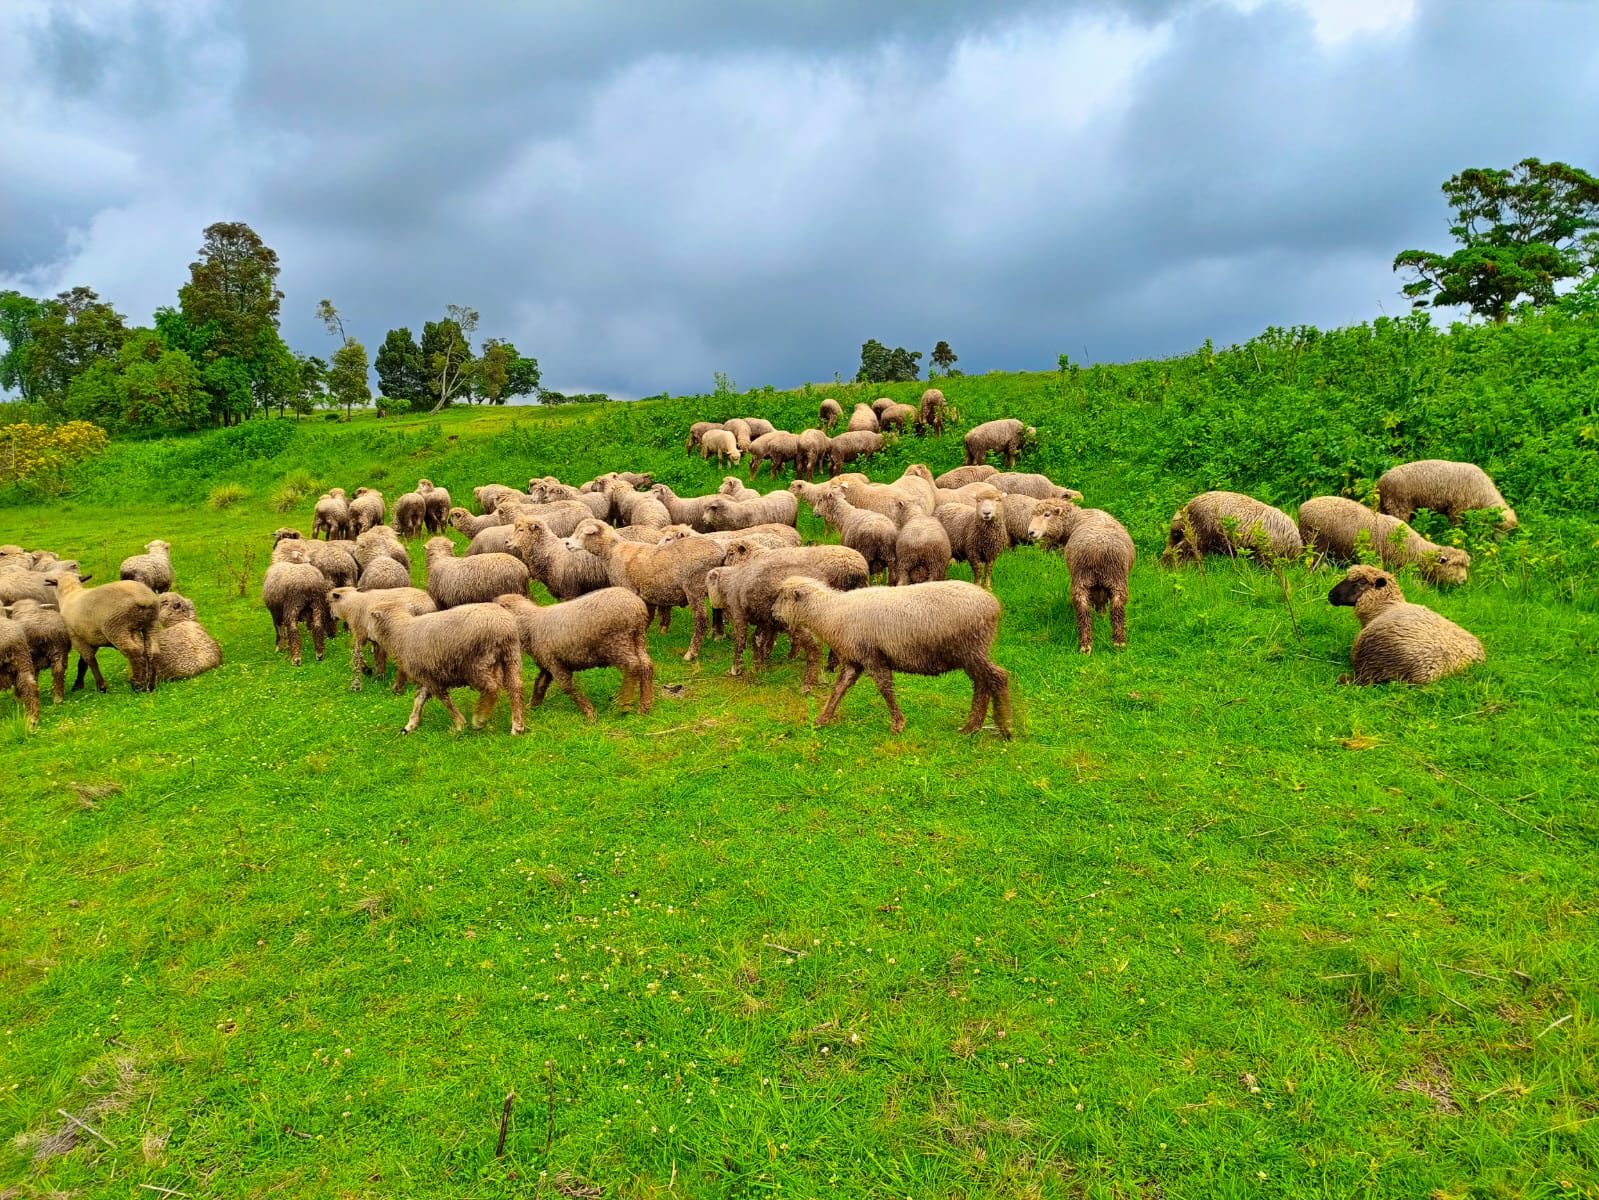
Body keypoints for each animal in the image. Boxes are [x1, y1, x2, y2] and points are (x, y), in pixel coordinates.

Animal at [366, 603, 526, 734]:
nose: (367, 636)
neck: (400, 634)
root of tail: (503, 626)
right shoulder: (425, 674)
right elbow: (419, 699)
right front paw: (410, 724)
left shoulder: (429, 677)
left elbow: (444, 699)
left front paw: (459, 724)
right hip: (511, 655)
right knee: (515, 687)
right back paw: (517, 725)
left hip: (475, 663)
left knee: (492, 688)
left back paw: (479, 719)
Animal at [495, 591, 655, 719]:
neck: (531, 625)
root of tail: (637, 606)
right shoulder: (547, 662)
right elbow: (540, 683)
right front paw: (532, 706)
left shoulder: (555, 663)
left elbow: (566, 686)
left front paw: (589, 711)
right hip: (637, 638)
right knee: (647, 666)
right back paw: (645, 705)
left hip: (617, 643)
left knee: (633, 667)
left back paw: (624, 704)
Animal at [568, 519, 725, 659]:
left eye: (582, 532)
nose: (567, 543)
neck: (612, 551)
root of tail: (720, 553)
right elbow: (648, 616)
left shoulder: (628, 587)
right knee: (718, 610)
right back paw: (719, 636)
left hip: (694, 588)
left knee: (701, 619)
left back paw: (691, 653)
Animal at [773, 576, 1012, 737]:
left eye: (784, 596)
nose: (774, 615)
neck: (830, 612)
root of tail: (993, 604)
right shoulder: (854, 660)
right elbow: (840, 688)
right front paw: (823, 718)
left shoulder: (872, 656)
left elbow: (885, 688)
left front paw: (898, 723)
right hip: (971, 652)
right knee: (982, 683)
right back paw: (972, 727)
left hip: (971, 649)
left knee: (998, 677)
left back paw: (1004, 727)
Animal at [1027, 500, 1135, 653]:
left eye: (1047, 514)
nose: (1030, 532)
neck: (1074, 521)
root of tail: (1098, 550)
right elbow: (1100, 601)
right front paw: (1101, 615)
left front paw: (1100, 615)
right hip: (1112, 578)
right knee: (1115, 606)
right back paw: (1117, 642)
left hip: (1085, 576)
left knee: (1083, 607)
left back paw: (1087, 645)